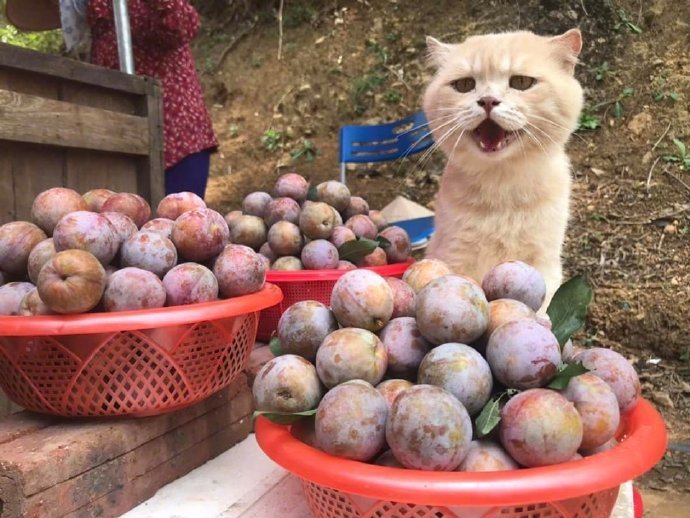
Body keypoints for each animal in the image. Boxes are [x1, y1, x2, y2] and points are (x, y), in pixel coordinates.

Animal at [422, 28, 584, 310]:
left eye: (521, 82)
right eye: (464, 85)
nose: (487, 100)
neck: (502, 185)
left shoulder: (544, 262)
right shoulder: (454, 256)